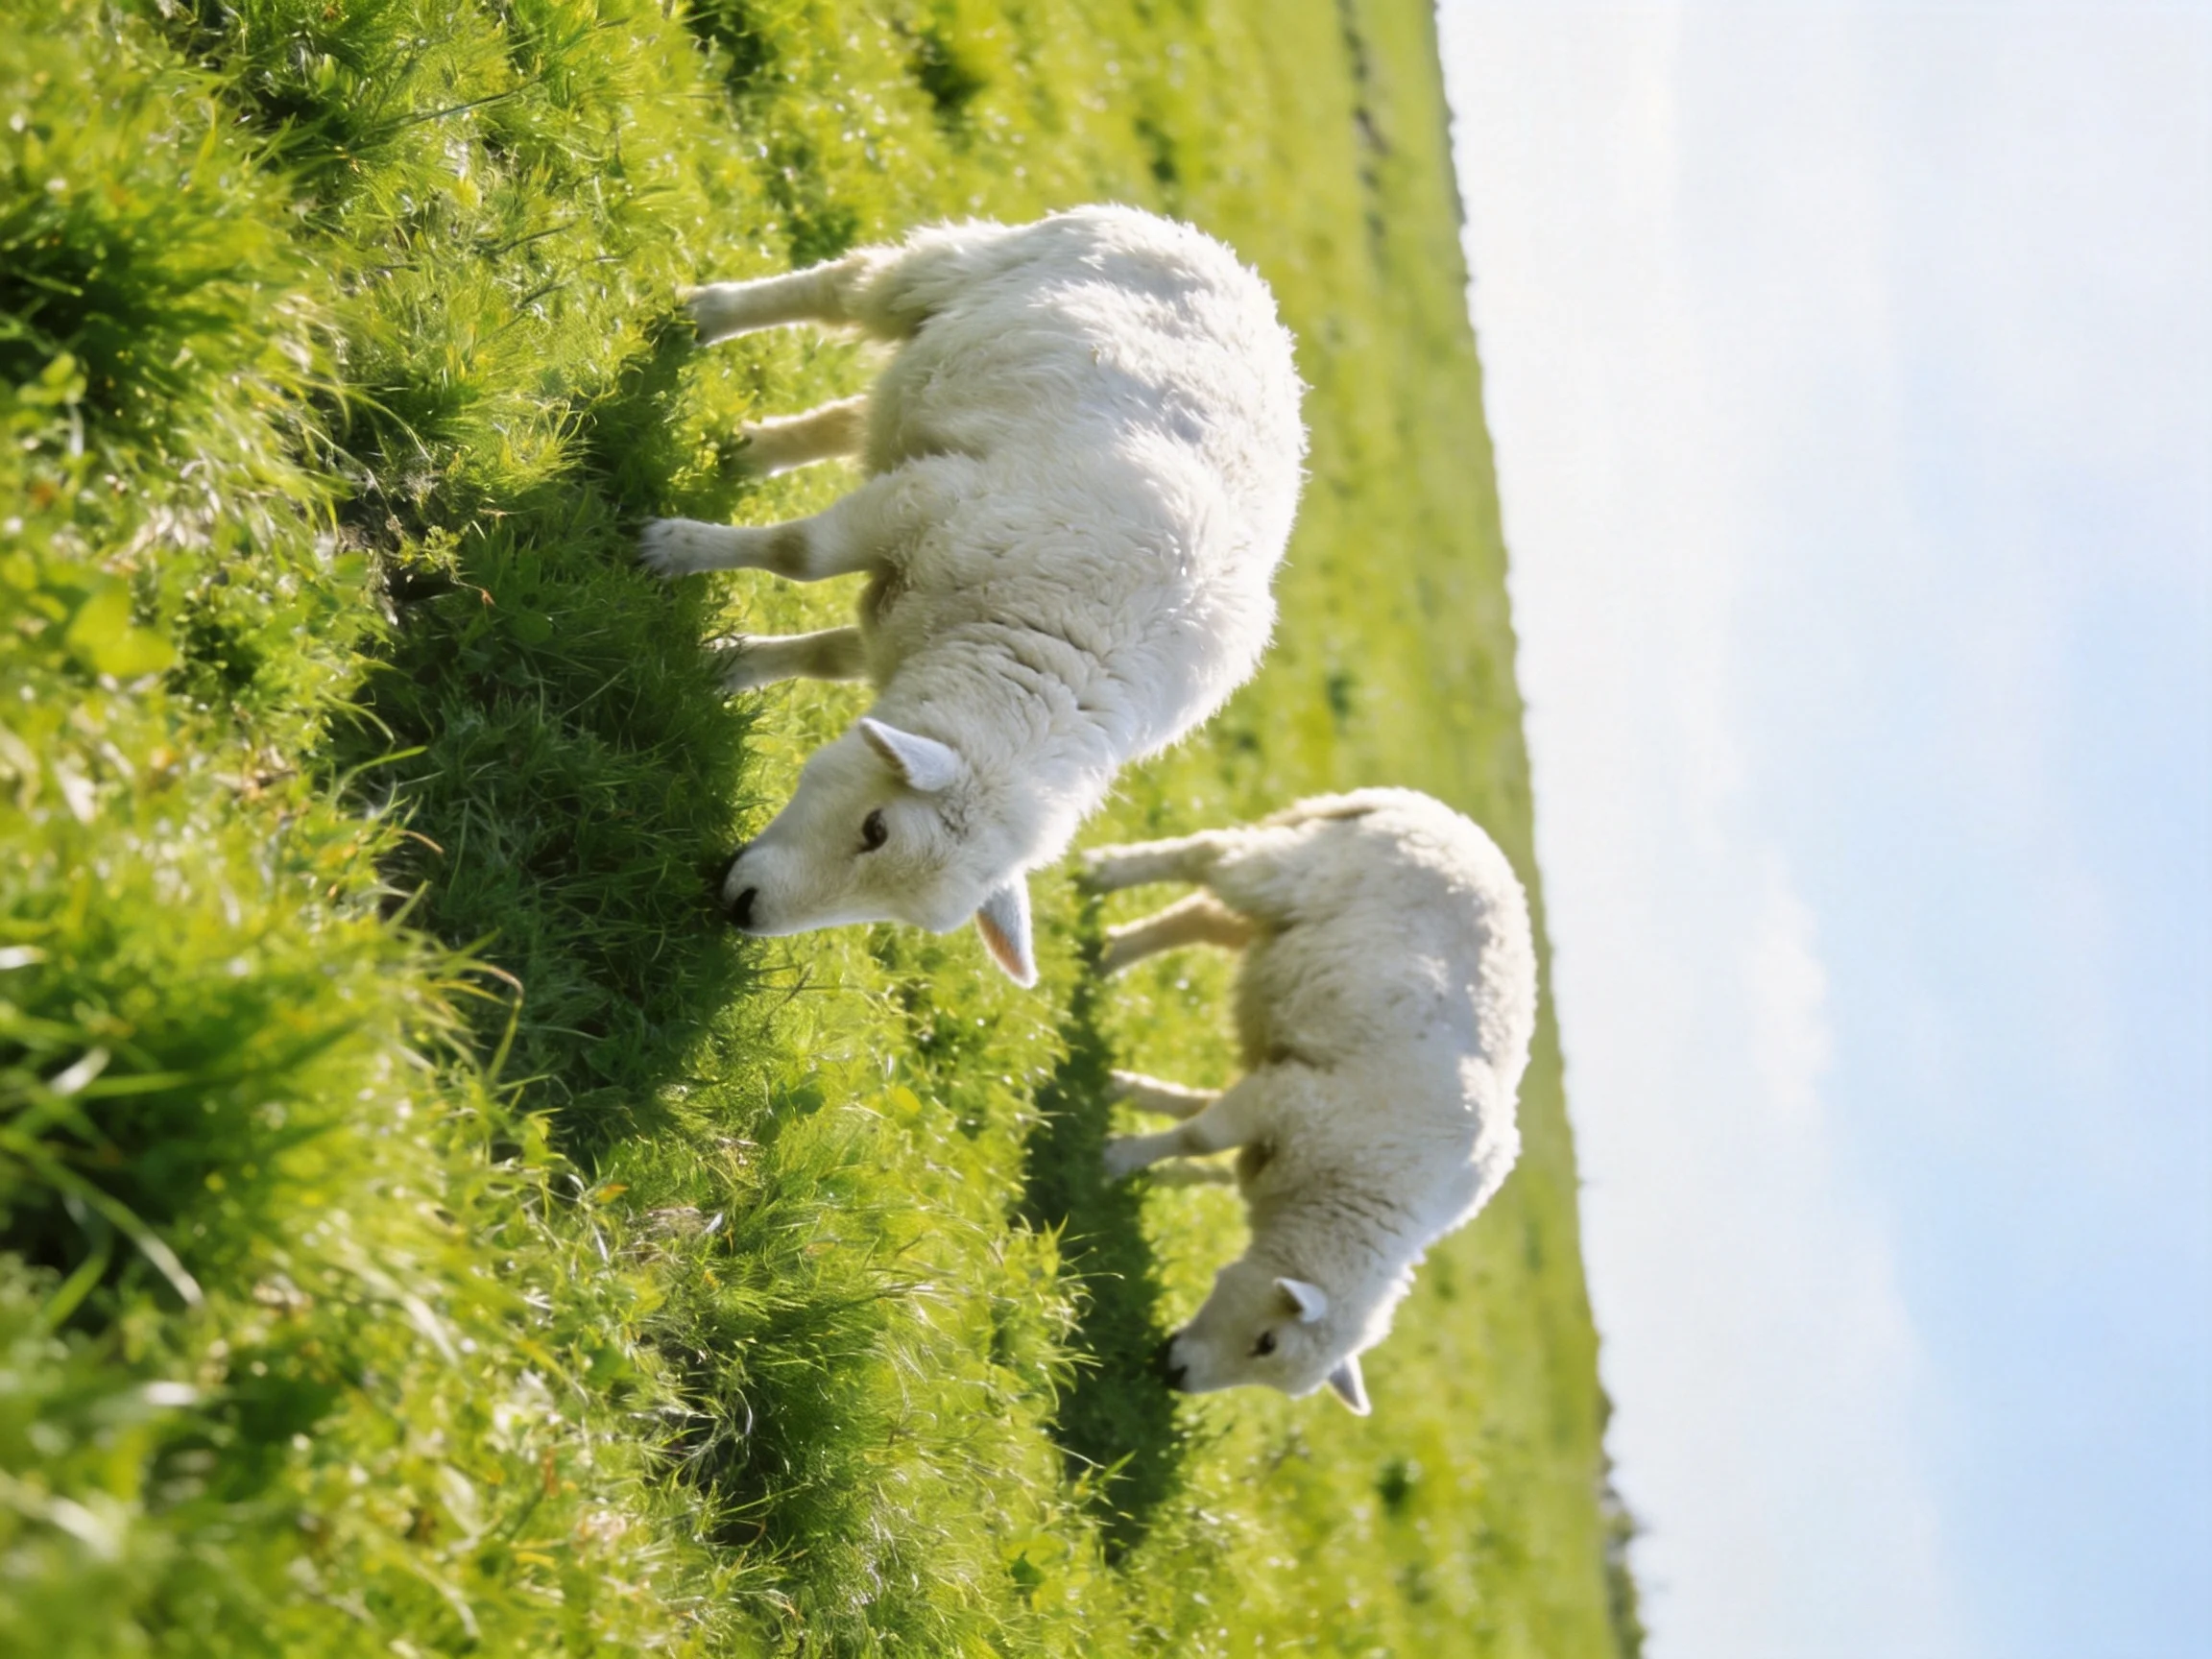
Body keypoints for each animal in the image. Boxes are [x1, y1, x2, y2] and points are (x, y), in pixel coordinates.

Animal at [640, 206, 1306, 984]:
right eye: (876, 828)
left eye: (898, 915)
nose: (742, 911)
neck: (1074, 651)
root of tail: (1237, 267)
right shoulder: (929, 502)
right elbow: (799, 555)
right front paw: (671, 551)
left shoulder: (926, 594)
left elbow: (833, 656)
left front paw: (730, 665)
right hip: (955, 272)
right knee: (847, 287)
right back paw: (709, 315)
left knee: (864, 414)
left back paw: (755, 453)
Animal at [1084, 788, 1537, 1414]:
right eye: (1267, 1342)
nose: (1172, 1375)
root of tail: (1439, 815)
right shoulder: (1297, 1100)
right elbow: (1199, 1134)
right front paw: (1116, 1158)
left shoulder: (1287, 1089)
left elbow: (1189, 1109)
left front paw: (1120, 1091)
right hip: (1298, 871)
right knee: (1205, 857)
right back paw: (1099, 872)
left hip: (1289, 926)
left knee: (1200, 920)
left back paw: (1104, 956)